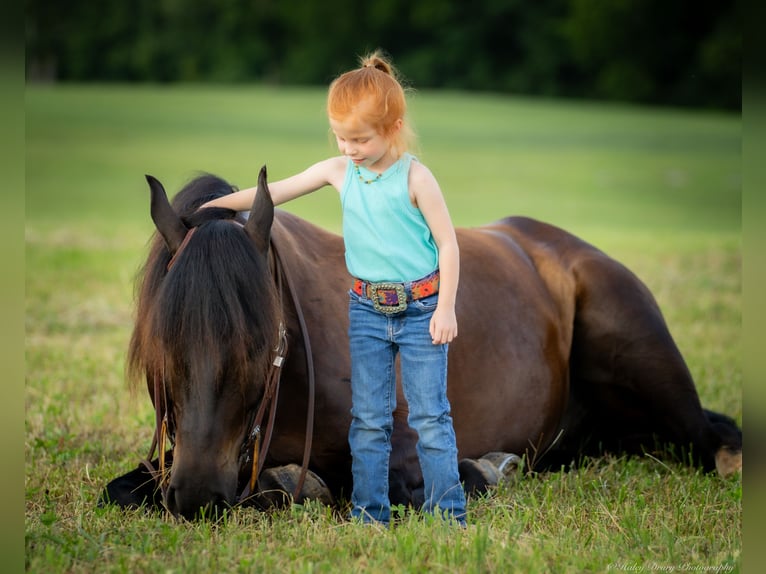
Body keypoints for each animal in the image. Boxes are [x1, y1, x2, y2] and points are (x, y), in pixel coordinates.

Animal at [99, 168, 740, 520]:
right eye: (160, 341)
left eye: (261, 345)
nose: (198, 495)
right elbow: (121, 490)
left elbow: (399, 484)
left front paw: (484, 470)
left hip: (650, 370)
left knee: (713, 439)